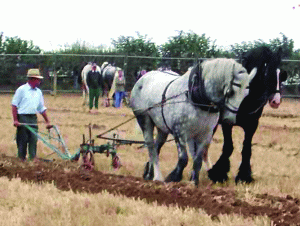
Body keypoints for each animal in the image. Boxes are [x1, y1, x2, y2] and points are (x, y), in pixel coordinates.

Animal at [209, 46, 288, 184]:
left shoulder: (252, 124)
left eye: (280, 75)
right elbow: (228, 147)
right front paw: (218, 173)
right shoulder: (226, 123)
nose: (276, 101)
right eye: (267, 73)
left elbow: (246, 149)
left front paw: (244, 176)